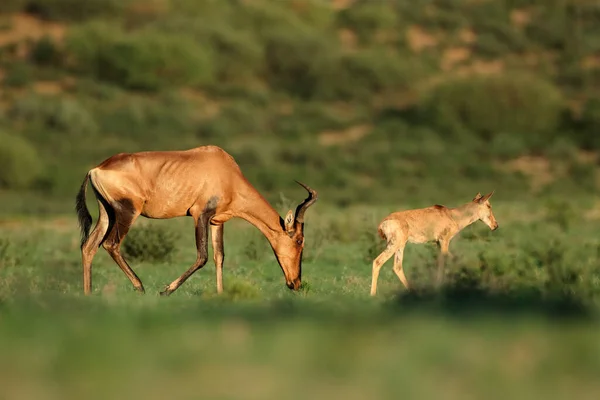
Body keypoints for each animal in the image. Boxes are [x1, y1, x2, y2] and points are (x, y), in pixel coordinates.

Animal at [74, 145, 316, 296]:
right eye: (299, 241)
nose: (295, 283)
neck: (227, 171)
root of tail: (96, 169)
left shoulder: (217, 221)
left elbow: (219, 257)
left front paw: (220, 293)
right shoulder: (201, 215)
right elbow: (203, 257)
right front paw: (165, 291)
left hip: (107, 213)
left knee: (89, 246)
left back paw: (88, 294)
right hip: (127, 212)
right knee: (110, 244)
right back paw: (140, 287)